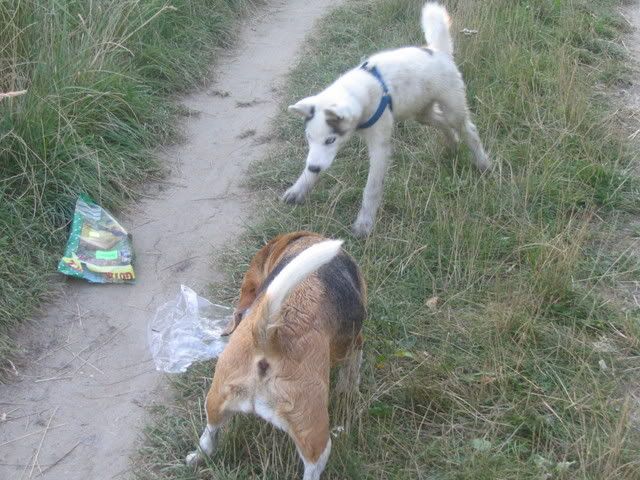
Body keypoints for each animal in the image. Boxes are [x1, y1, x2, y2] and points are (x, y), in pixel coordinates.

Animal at [186, 231, 366, 480]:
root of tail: (268, 337)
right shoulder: (356, 341)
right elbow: (352, 372)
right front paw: (351, 391)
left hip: (216, 398)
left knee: (209, 435)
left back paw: (196, 457)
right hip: (313, 432)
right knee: (314, 464)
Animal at [285, 2, 490, 237]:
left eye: (330, 140)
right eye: (309, 139)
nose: (314, 169)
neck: (359, 90)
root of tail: (438, 52)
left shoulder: (379, 148)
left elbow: (371, 189)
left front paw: (364, 223)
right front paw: (300, 188)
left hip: (453, 107)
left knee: (468, 130)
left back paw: (483, 162)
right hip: (422, 113)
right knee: (443, 123)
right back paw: (452, 145)